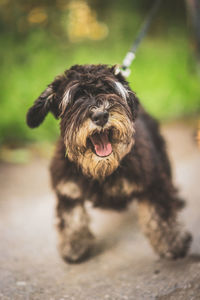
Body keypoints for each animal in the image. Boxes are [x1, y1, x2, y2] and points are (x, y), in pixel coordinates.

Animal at [25, 63, 191, 262]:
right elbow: (72, 218)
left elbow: (161, 214)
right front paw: (74, 247)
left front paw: (172, 243)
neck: (101, 170)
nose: (101, 115)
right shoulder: (68, 188)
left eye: (109, 90)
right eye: (75, 98)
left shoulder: (152, 180)